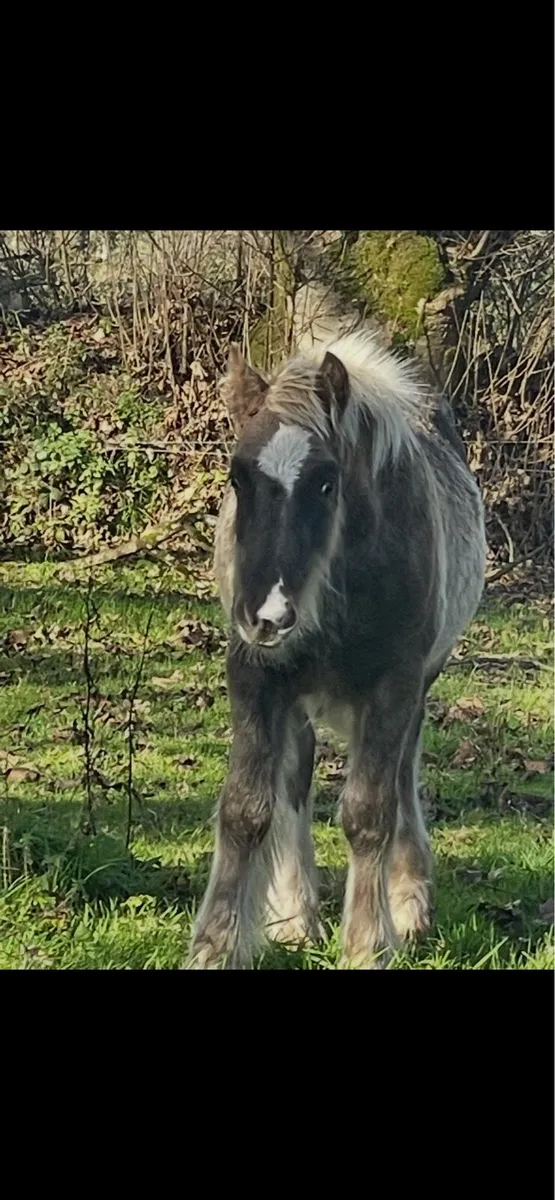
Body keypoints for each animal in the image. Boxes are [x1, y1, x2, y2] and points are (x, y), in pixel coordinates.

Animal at [187, 332, 486, 969]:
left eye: (327, 481)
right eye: (237, 477)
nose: (267, 614)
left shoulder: (394, 684)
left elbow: (369, 811)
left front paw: (370, 943)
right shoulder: (255, 674)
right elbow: (245, 807)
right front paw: (216, 944)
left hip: (416, 688)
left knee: (401, 775)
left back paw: (409, 904)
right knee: (296, 777)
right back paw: (296, 918)